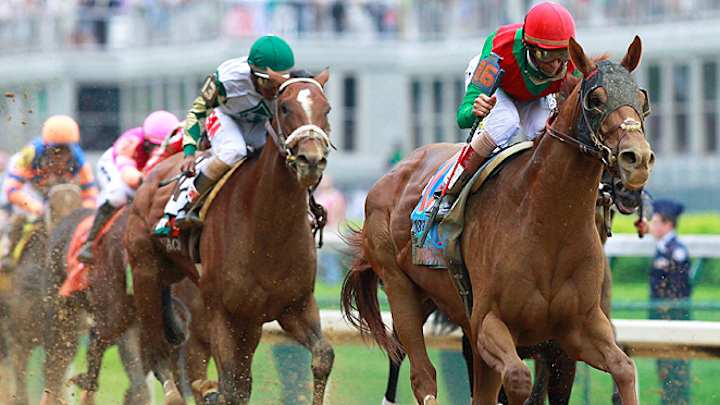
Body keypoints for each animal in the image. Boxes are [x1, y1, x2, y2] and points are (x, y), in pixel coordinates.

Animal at [126, 68, 335, 404]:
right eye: (285, 108)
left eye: (326, 109)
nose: (311, 160)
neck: (268, 230)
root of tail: (153, 174)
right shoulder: (222, 313)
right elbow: (229, 387)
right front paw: (208, 389)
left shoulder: (295, 306)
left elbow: (322, 356)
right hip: (147, 273)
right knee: (158, 351)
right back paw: (173, 391)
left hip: (244, 320)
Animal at [341, 37, 653, 405]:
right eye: (595, 99)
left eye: (642, 99)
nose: (637, 159)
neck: (550, 226)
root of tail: (389, 176)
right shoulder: (489, 323)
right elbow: (516, 380)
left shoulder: (578, 329)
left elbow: (624, 368)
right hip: (400, 287)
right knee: (422, 375)